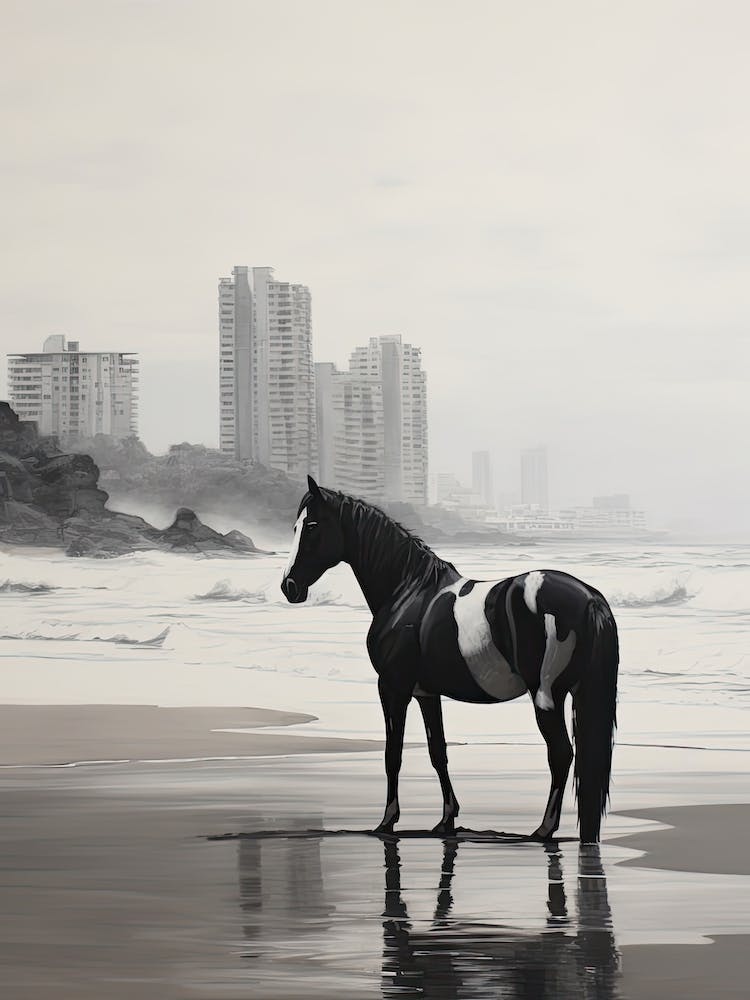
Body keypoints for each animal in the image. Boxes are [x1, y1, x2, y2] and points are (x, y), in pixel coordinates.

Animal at [281, 476, 619, 843]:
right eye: (295, 527)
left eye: (312, 527)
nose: (289, 586)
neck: (409, 592)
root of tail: (588, 598)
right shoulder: (427, 693)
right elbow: (437, 752)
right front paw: (446, 820)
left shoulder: (393, 688)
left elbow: (392, 755)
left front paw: (387, 822)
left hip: (546, 695)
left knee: (561, 754)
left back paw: (543, 829)